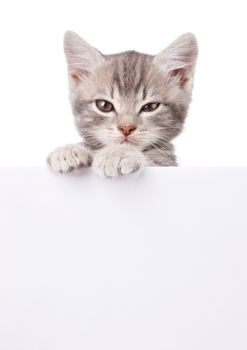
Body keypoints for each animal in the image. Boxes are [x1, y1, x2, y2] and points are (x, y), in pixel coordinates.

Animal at [46, 31, 198, 176]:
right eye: (104, 105)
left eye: (150, 107)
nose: (126, 128)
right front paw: (68, 150)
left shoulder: (166, 163)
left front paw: (118, 153)